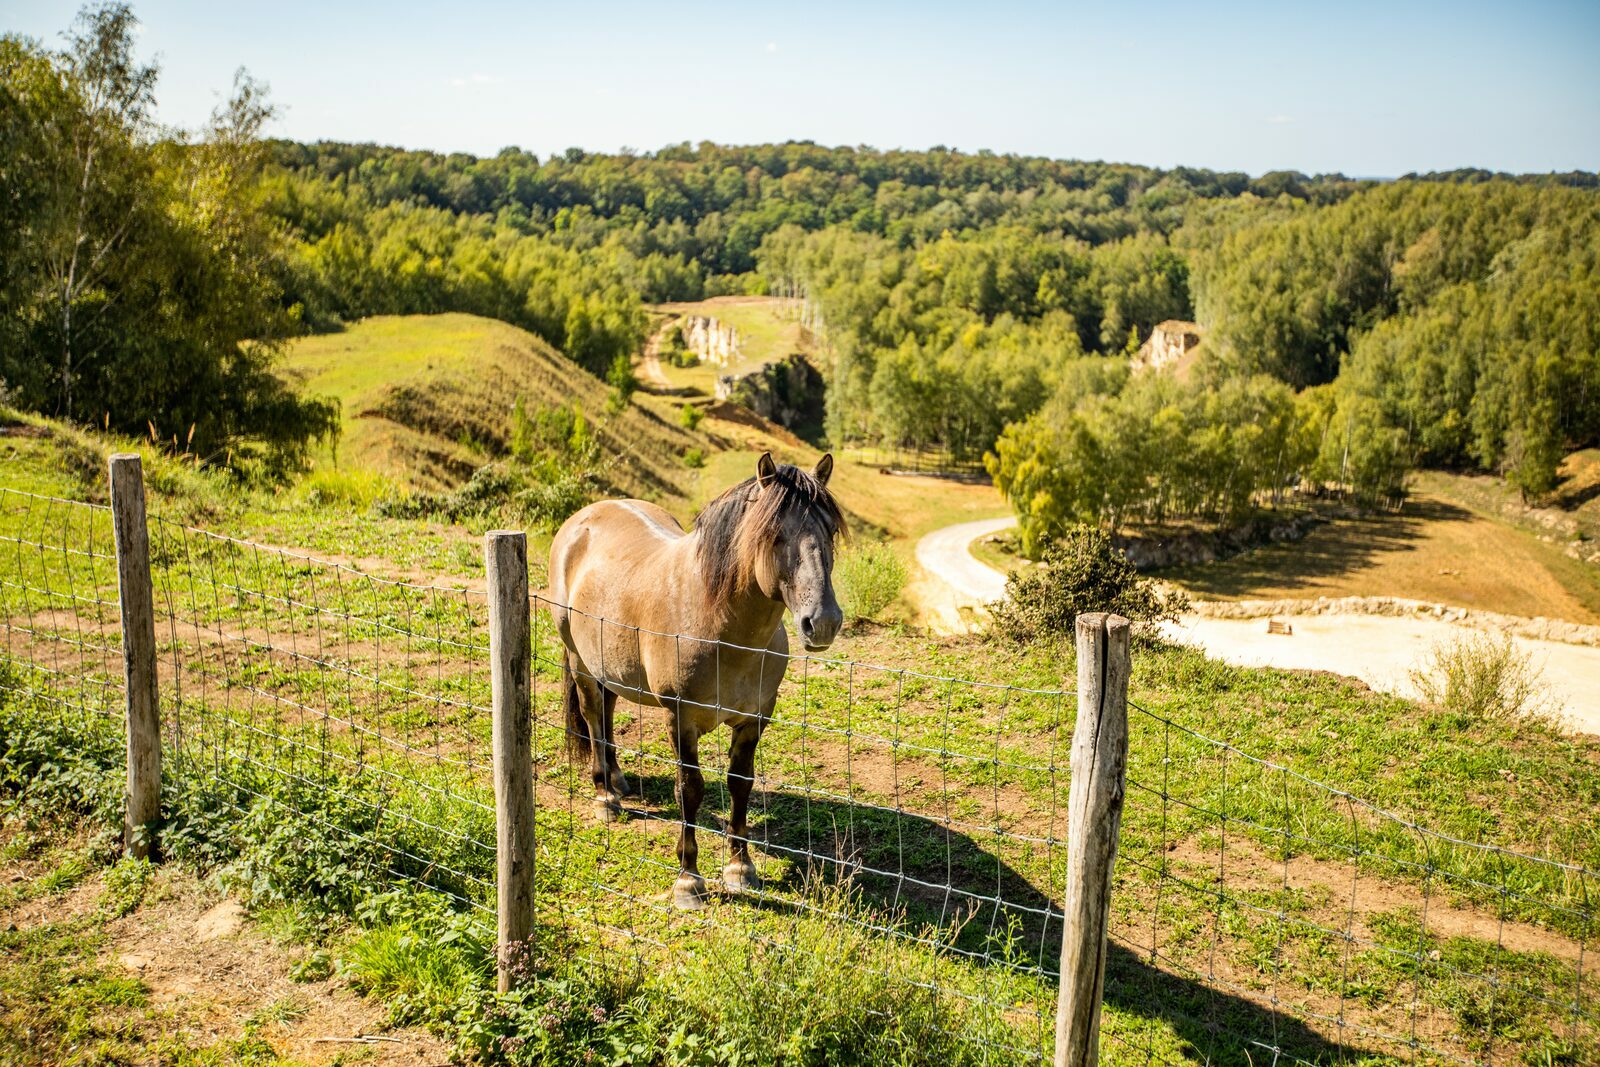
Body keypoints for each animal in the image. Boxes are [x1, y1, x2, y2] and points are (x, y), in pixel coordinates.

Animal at [550, 451, 844, 908]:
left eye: (830, 530)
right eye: (775, 535)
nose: (824, 622)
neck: (718, 625)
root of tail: (584, 517)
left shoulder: (755, 719)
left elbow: (740, 784)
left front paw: (741, 868)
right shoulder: (681, 719)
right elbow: (689, 789)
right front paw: (688, 880)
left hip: (607, 663)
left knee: (609, 707)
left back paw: (618, 779)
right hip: (580, 660)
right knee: (594, 715)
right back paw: (605, 796)